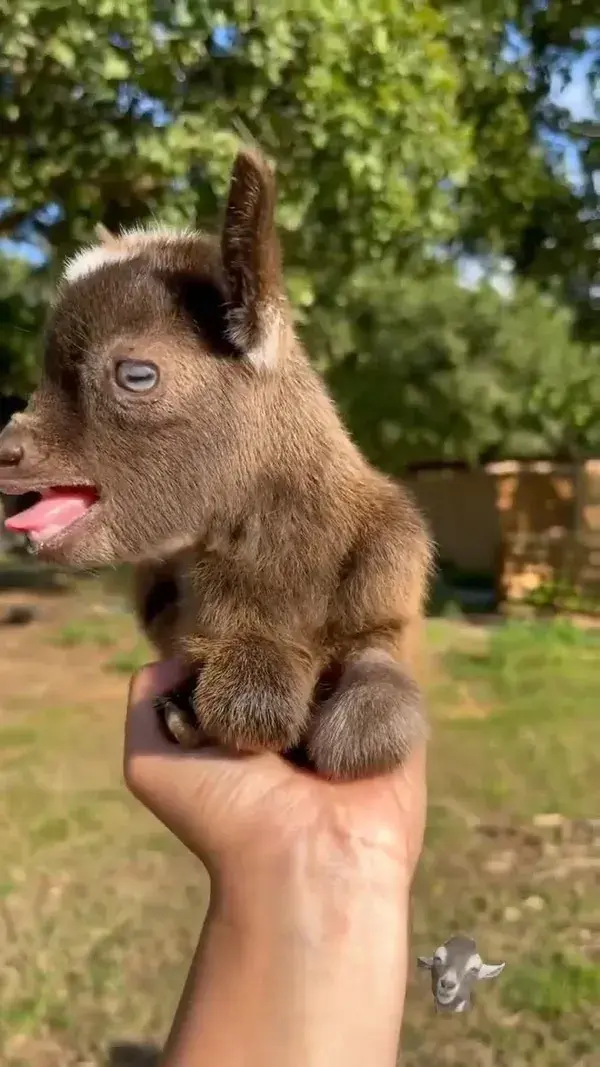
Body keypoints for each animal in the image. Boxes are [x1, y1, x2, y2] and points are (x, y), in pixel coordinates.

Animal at [0, 150, 429, 781]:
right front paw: (239, 690)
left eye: (136, 374)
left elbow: (378, 696)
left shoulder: (393, 578)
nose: (7, 450)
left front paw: (356, 716)